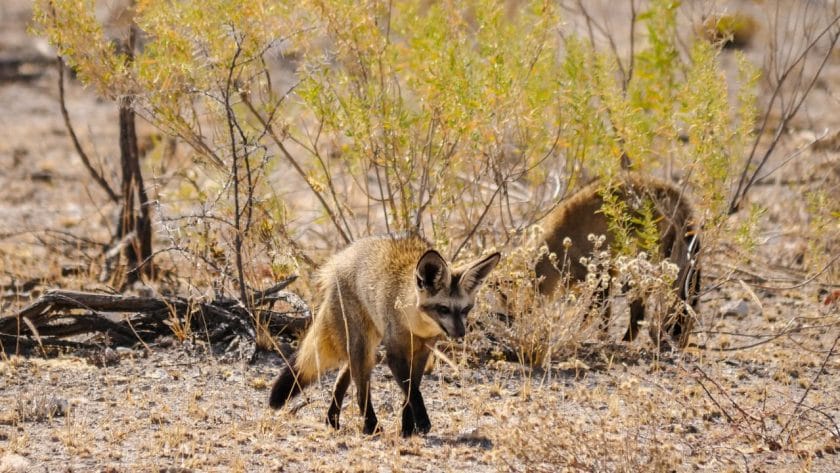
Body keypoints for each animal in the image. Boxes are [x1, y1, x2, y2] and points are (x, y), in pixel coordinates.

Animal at [536, 173, 700, 346]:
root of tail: (666, 188)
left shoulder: (599, 274)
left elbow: (597, 314)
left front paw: (590, 336)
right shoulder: (605, 274)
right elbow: (602, 313)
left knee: (641, 309)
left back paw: (628, 340)